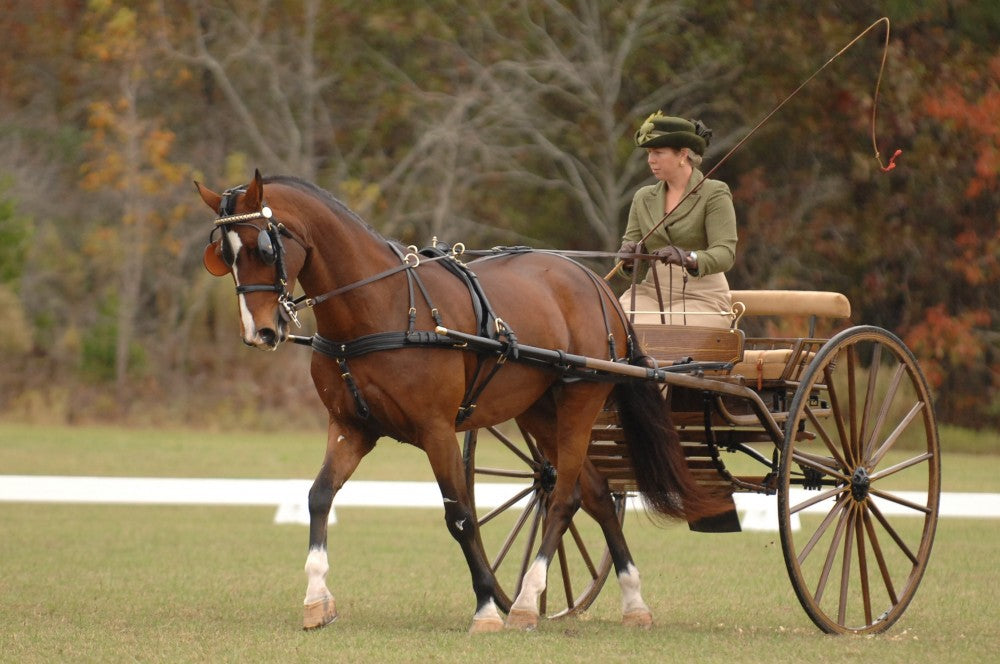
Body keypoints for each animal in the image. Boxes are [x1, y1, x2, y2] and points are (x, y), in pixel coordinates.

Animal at [196, 170, 727, 632]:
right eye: (223, 253)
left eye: (265, 246)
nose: (260, 332)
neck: (381, 306)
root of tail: (596, 283)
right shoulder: (351, 427)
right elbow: (318, 496)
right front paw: (316, 600)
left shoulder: (436, 431)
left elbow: (460, 515)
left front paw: (487, 608)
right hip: (538, 409)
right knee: (590, 492)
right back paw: (633, 601)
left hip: (580, 397)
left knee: (563, 498)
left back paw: (527, 601)